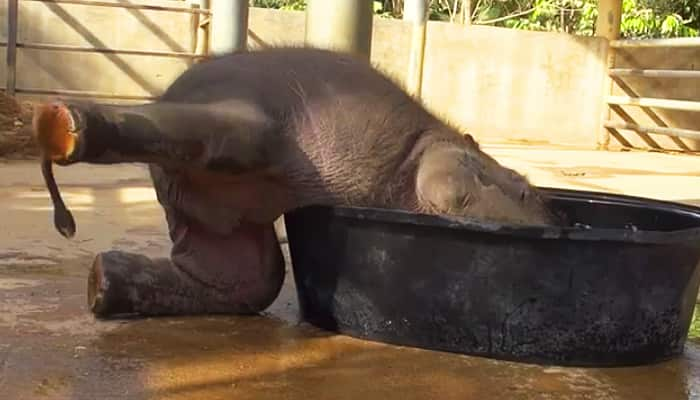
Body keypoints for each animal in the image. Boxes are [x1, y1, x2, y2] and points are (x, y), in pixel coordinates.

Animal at [32, 45, 564, 318]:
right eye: (522, 186)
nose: (554, 223)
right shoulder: (437, 162)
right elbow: (444, 183)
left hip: (214, 216)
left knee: (250, 279)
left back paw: (101, 285)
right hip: (250, 124)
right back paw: (63, 125)